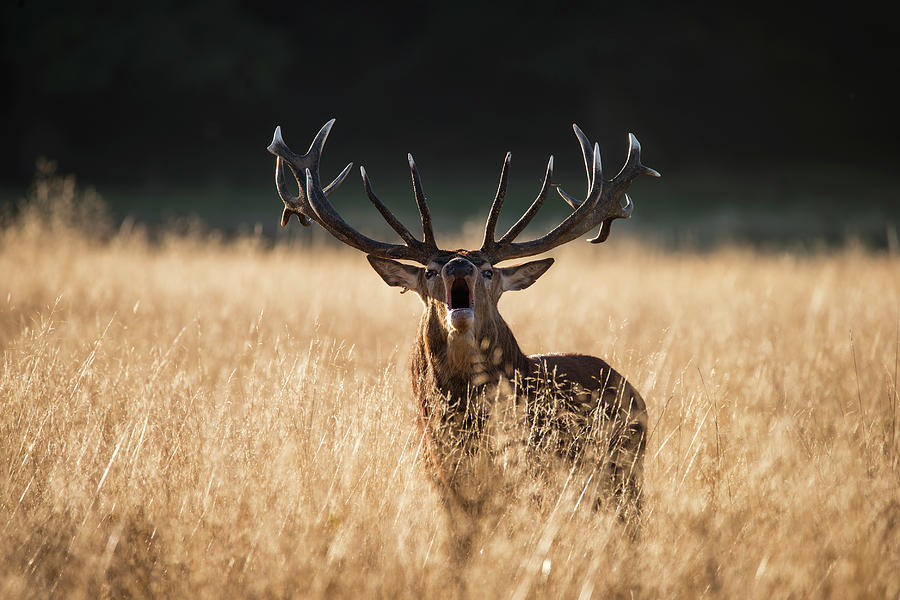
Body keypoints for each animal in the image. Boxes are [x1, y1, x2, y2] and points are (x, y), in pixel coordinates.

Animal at [264, 119, 656, 532]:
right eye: (430, 271)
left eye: (488, 271)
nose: (458, 264)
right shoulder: (442, 484)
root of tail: (632, 391)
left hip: (625, 477)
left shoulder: (531, 480)